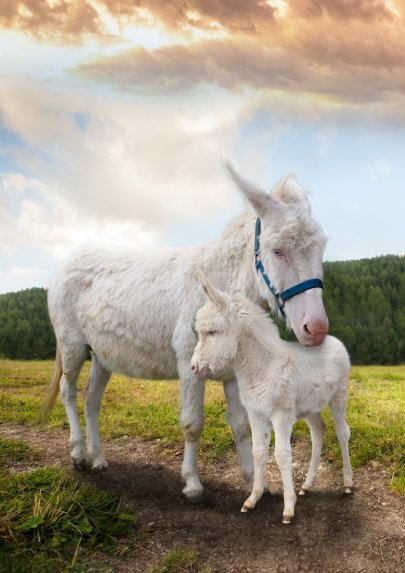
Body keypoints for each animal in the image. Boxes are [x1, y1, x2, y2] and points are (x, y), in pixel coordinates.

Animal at [191, 272, 352, 524]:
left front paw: (288, 508)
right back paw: (307, 485)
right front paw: (252, 499)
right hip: (311, 407)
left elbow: (282, 455)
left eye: (212, 332)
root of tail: (334, 340)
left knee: (343, 432)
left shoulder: (281, 416)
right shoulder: (256, 415)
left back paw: (347, 484)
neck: (262, 366)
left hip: (339, 396)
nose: (194, 367)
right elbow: (258, 453)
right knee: (318, 433)